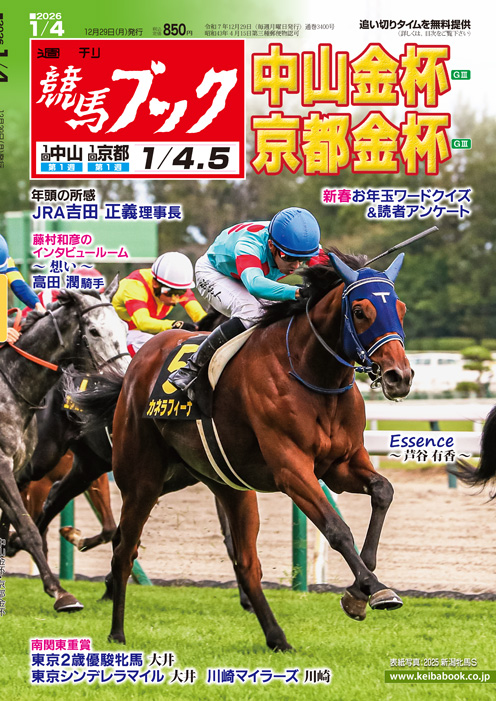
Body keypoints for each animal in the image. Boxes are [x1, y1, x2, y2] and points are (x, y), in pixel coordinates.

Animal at [0, 285, 129, 612]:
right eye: (93, 330)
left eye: (123, 327)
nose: (125, 379)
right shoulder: (4, 468)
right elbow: (28, 528)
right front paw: (61, 593)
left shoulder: (17, 469)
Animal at [70, 249, 412, 648]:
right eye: (360, 311)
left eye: (400, 308)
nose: (400, 376)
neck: (311, 374)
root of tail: (135, 365)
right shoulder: (291, 469)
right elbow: (337, 528)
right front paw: (375, 589)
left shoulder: (341, 465)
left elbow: (383, 491)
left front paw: (359, 593)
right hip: (141, 480)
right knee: (124, 551)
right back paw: (117, 632)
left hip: (226, 485)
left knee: (246, 563)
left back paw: (278, 638)